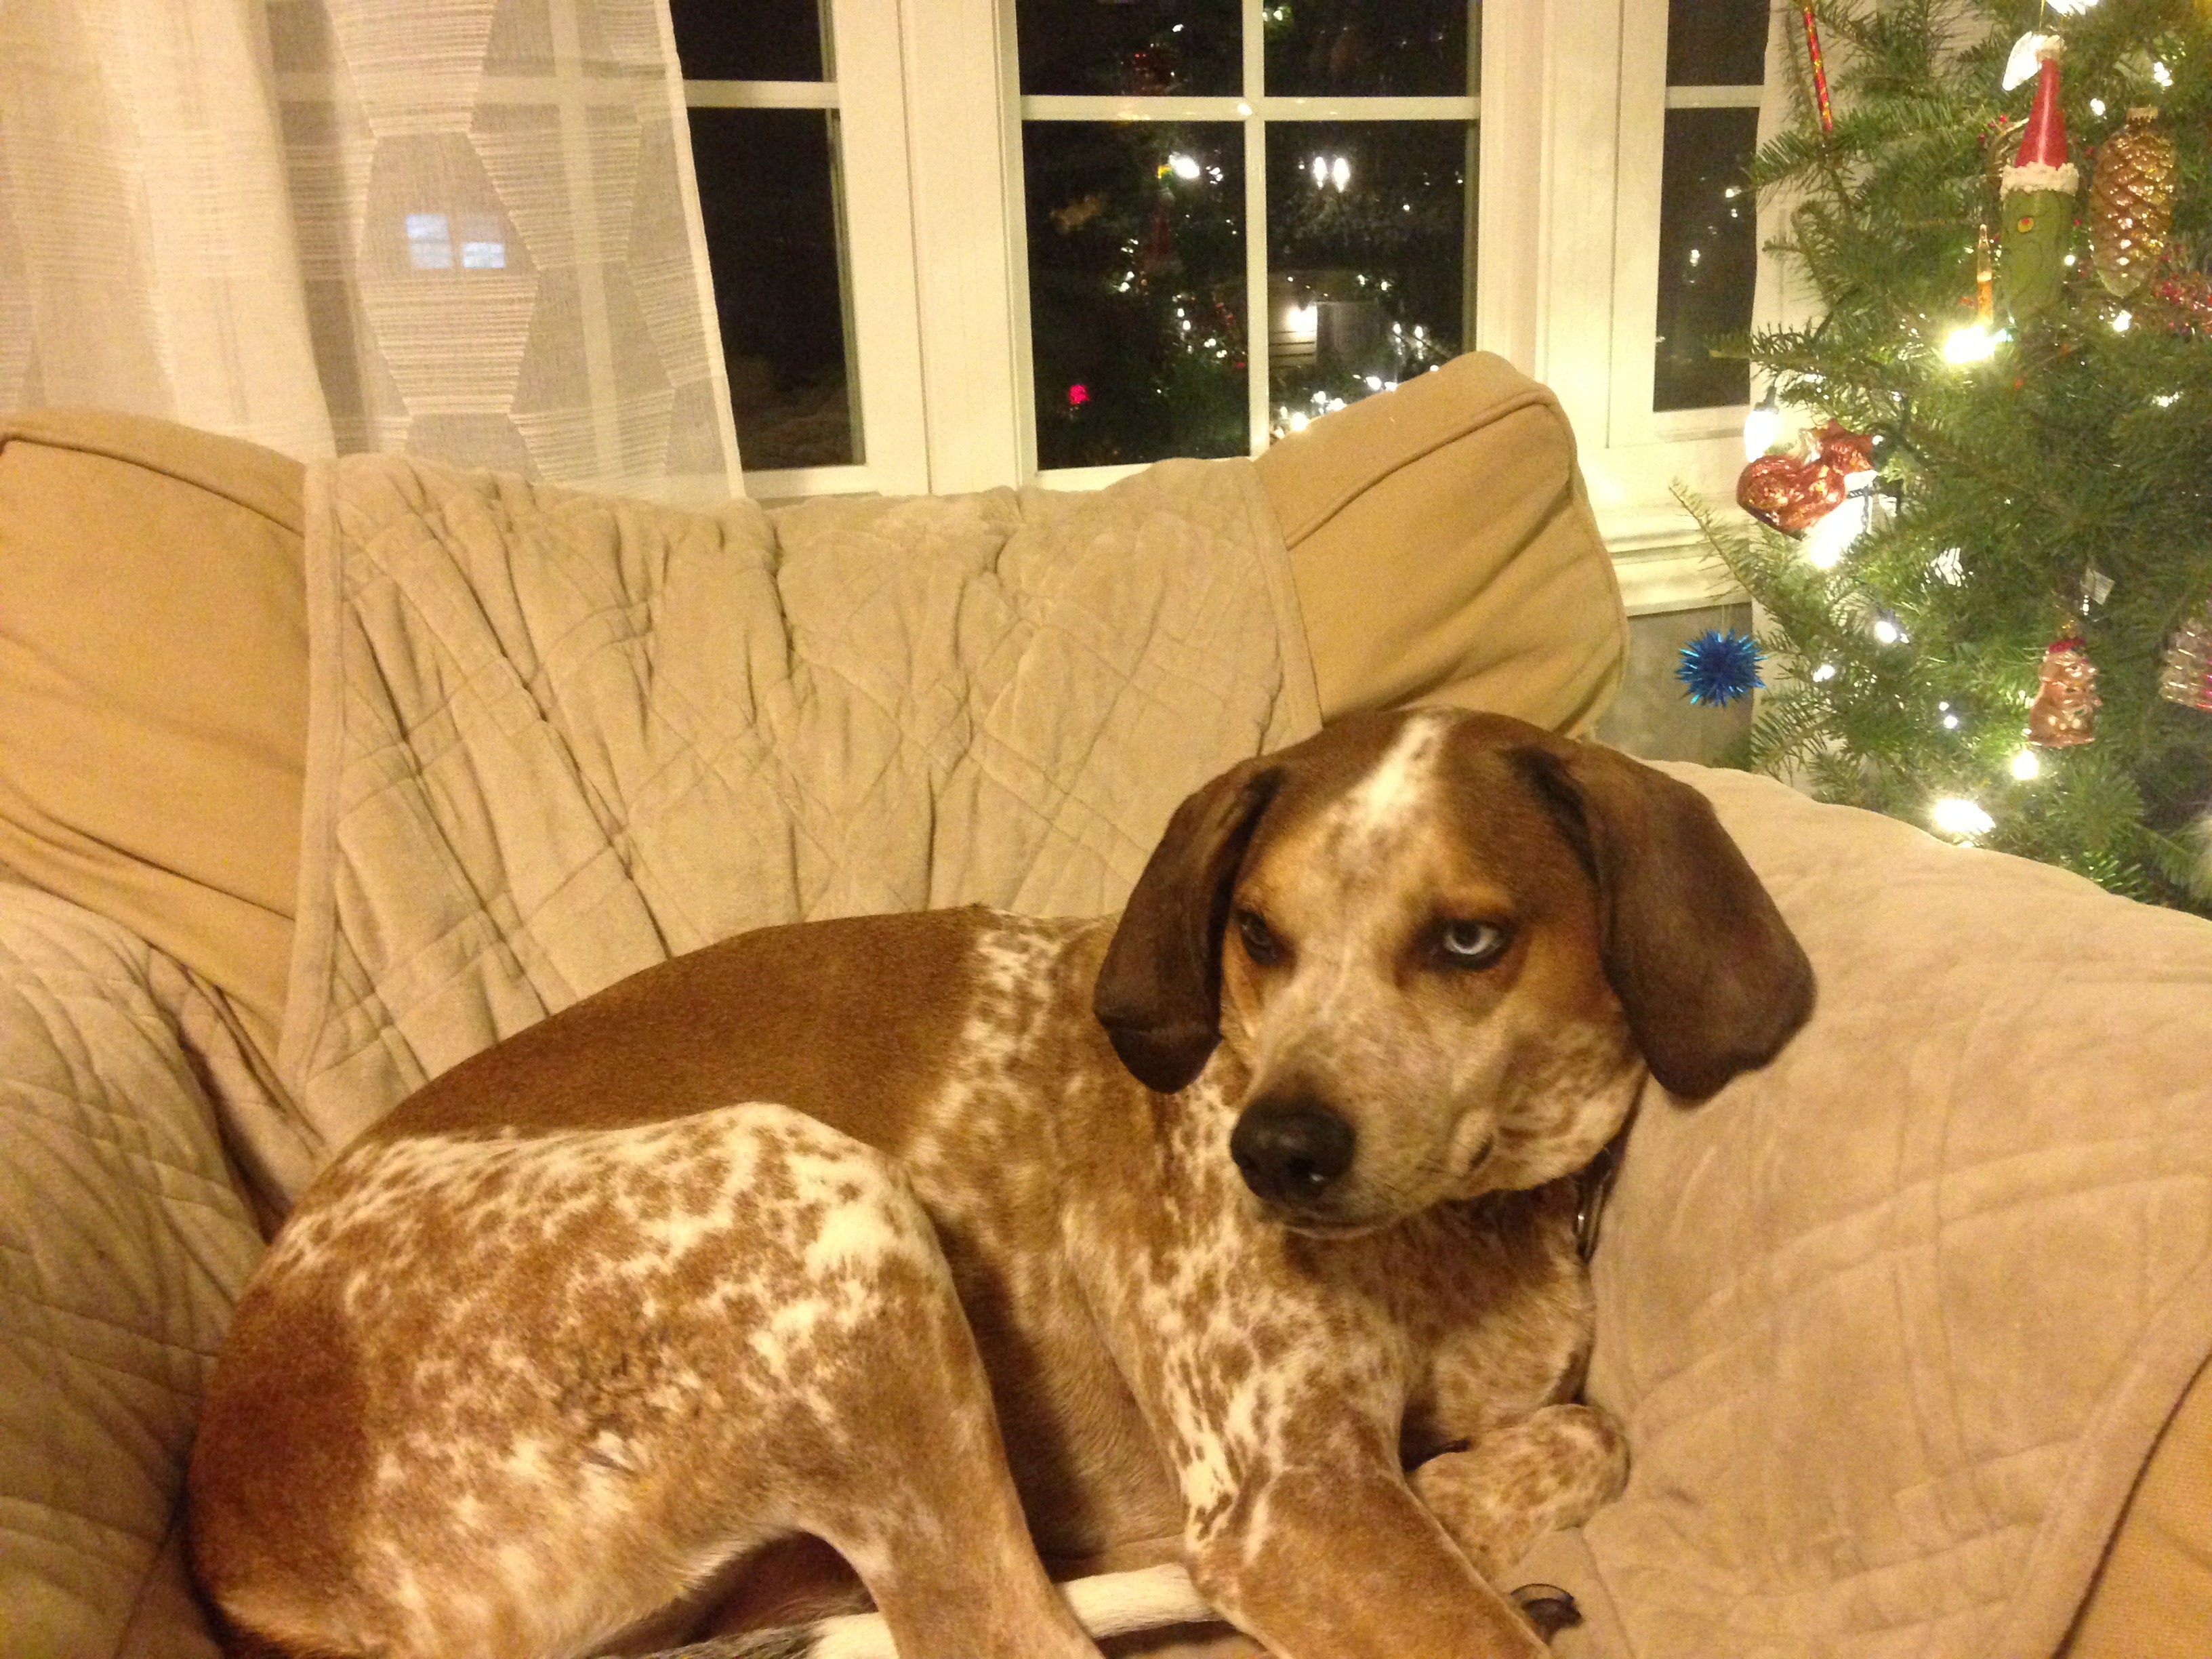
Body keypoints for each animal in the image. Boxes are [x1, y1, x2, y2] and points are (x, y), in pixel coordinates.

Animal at [190, 712, 1814, 1659]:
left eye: (1469, 939)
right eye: (1257, 934)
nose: (1271, 1153)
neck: (1468, 1234)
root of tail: (242, 1536)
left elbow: (1590, 1428)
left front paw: (1477, 1496)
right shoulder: (1290, 1500)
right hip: (832, 1214)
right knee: (1000, 1636)